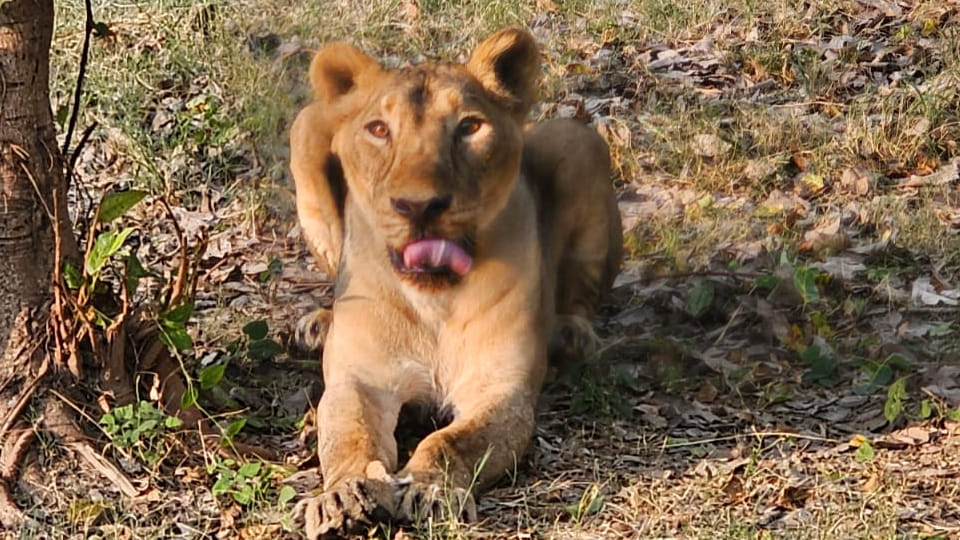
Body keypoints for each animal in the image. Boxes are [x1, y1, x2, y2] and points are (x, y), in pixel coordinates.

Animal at [289, 28, 622, 538]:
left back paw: (570, 333)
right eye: (379, 130)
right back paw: (320, 324)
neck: (435, 298)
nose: (419, 206)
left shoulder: (500, 388)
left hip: (577, 137)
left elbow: (451, 442)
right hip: (305, 126)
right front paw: (343, 496)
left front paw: (428, 490)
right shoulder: (358, 380)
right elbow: (348, 437)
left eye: (469, 127)